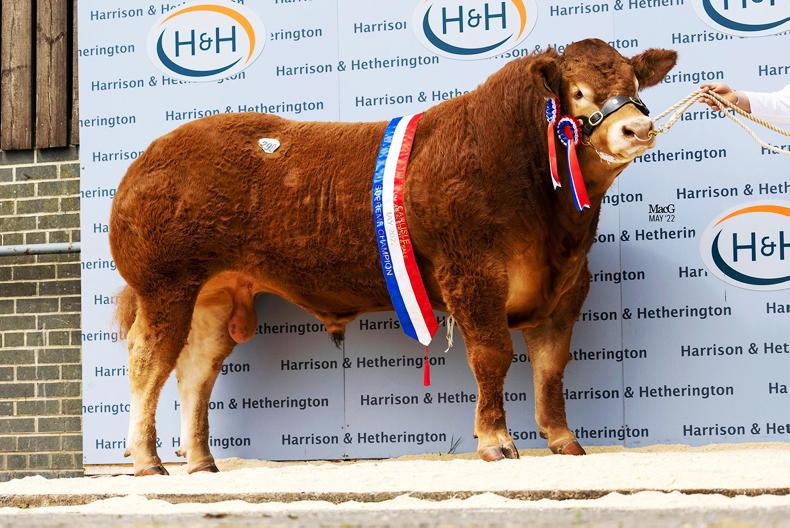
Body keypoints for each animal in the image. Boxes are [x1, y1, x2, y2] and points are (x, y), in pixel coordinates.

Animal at [111, 39, 677, 476]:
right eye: (576, 92)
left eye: (635, 85)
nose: (636, 129)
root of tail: (150, 156)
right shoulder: (472, 275)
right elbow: (492, 355)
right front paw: (496, 442)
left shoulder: (567, 287)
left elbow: (552, 367)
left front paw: (563, 440)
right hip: (165, 285)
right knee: (148, 361)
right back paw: (148, 461)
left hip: (215, 296)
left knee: (195, 371)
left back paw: (201, 463)